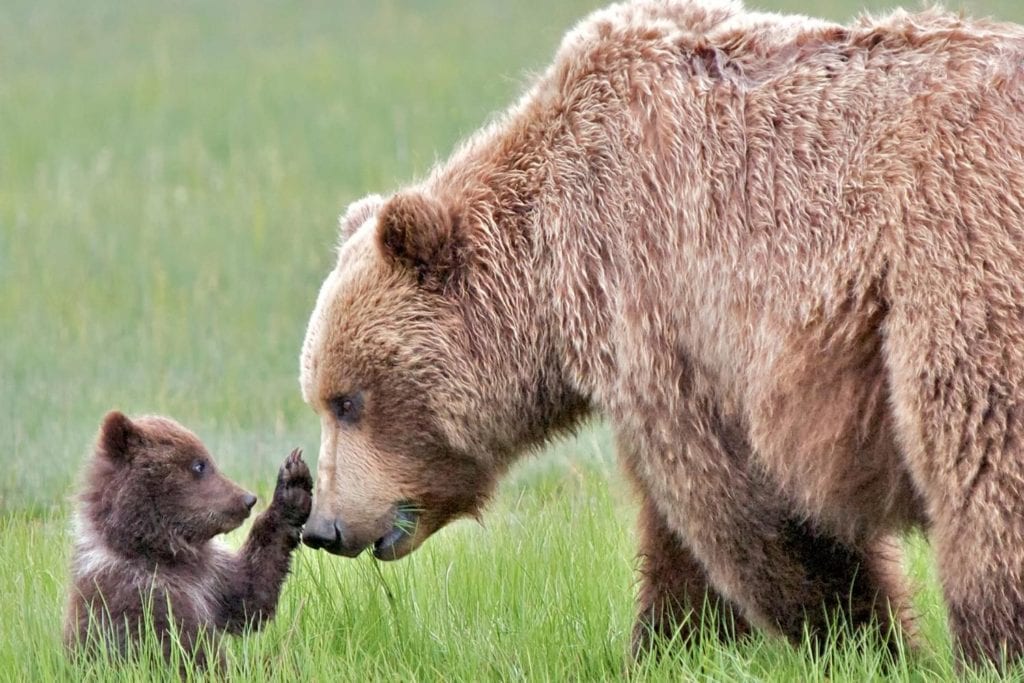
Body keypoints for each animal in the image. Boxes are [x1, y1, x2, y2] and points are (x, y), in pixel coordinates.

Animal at [64, 411, 313, 668]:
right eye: (199, 465)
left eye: (206, 460)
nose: (248, 499)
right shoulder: (136, 597)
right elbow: (186, 653)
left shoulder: (211, 577)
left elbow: (250, 592)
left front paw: (293, 484)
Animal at [298, 0, 1024, 669]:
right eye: (322, 397)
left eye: (349, 400)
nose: (323, 526)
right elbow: (679, 544)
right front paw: (671, 644)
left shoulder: (660, 299)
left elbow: (742, 501)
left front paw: (863, 641)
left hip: (954, 267)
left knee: (980, 464)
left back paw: (991, 646)